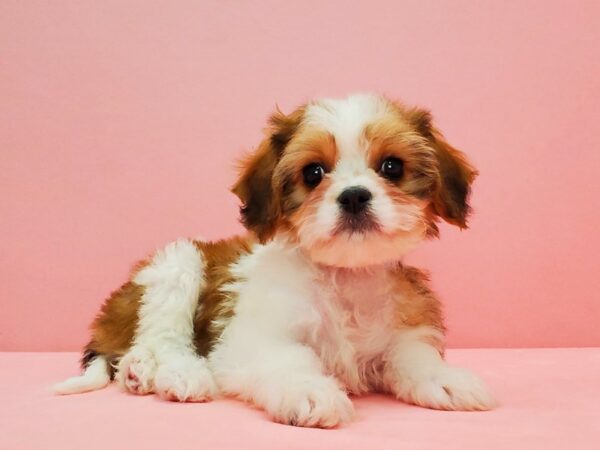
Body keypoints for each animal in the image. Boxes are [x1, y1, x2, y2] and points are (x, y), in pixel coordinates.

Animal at [55, 94, 496, 426]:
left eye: (392, 167)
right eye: (313, 173)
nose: (354, 196)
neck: (344, 276)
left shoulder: (401, 328)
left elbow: (414, 355)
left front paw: (445, 378)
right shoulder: (255, 339)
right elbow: (287, 360)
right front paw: (309, 390)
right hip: (176, 265)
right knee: (158, 338)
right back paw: (176, 373)